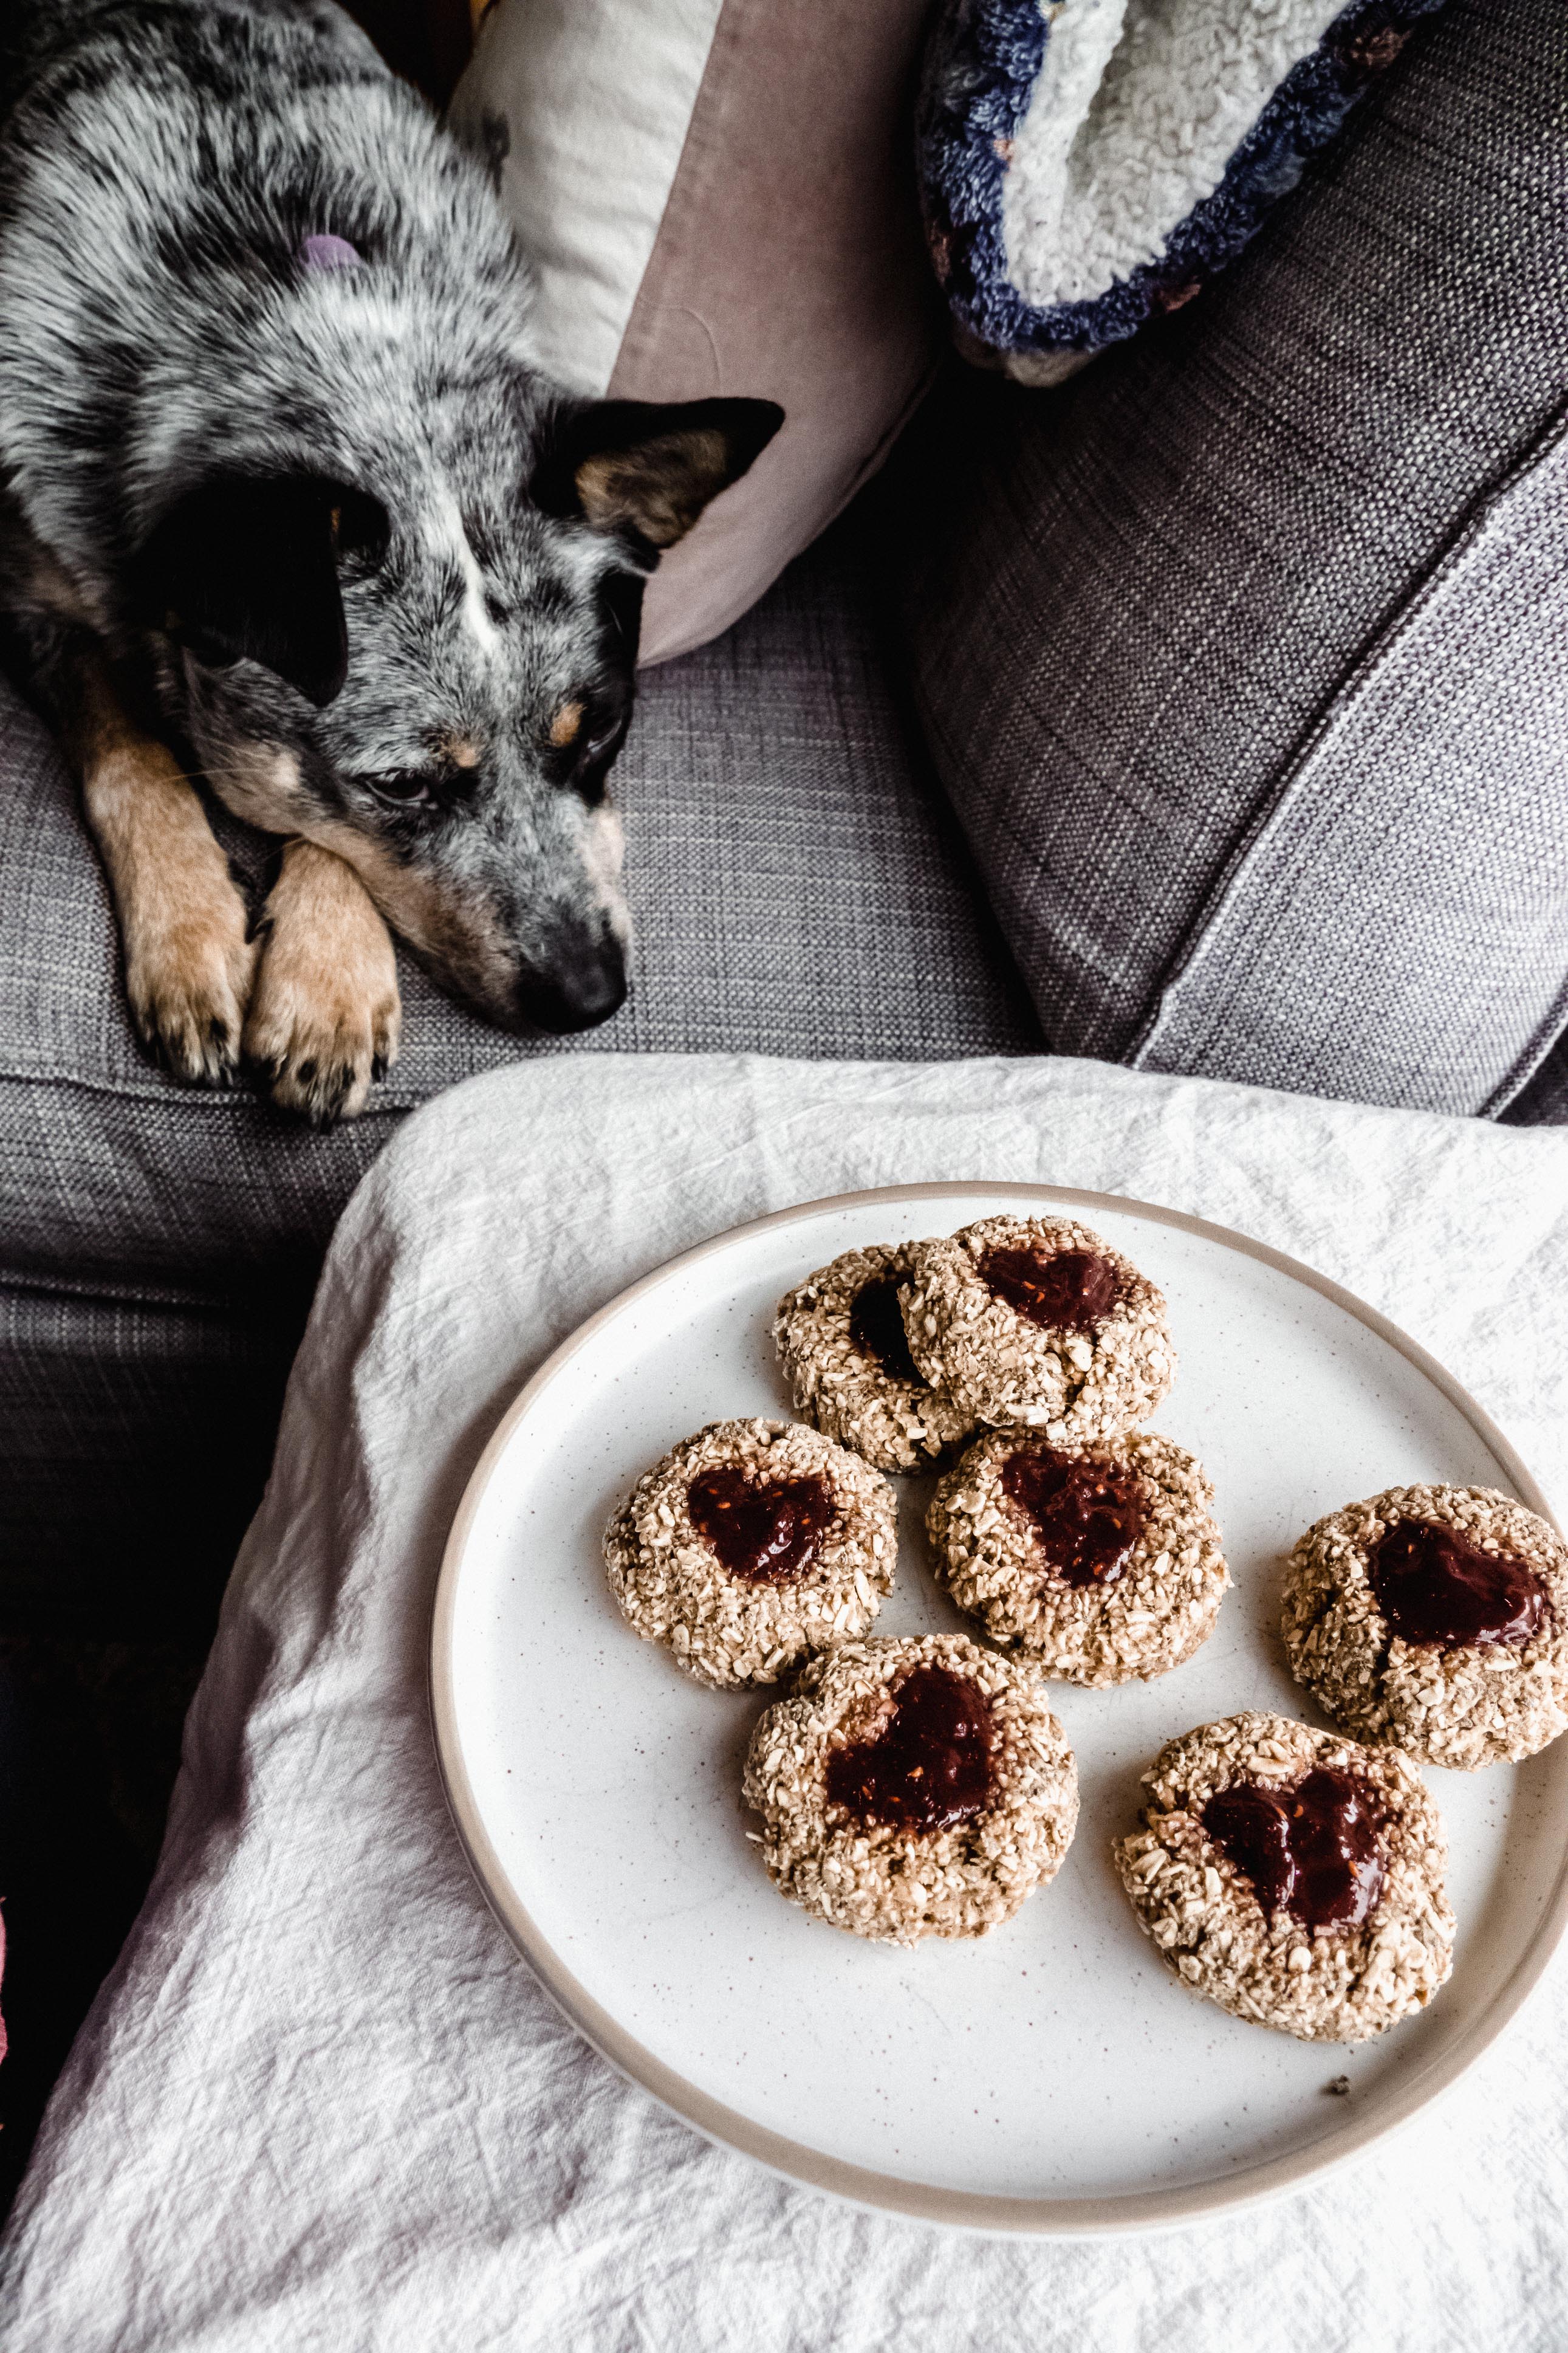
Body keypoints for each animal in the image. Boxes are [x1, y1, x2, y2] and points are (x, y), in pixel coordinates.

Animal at [0, 2, 785, 1120]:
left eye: (602, 732)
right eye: (406, 785)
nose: (590, 997)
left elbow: (312, 826)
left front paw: (325, 982)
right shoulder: (29, 586)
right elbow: (135, 754)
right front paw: (191, 939)